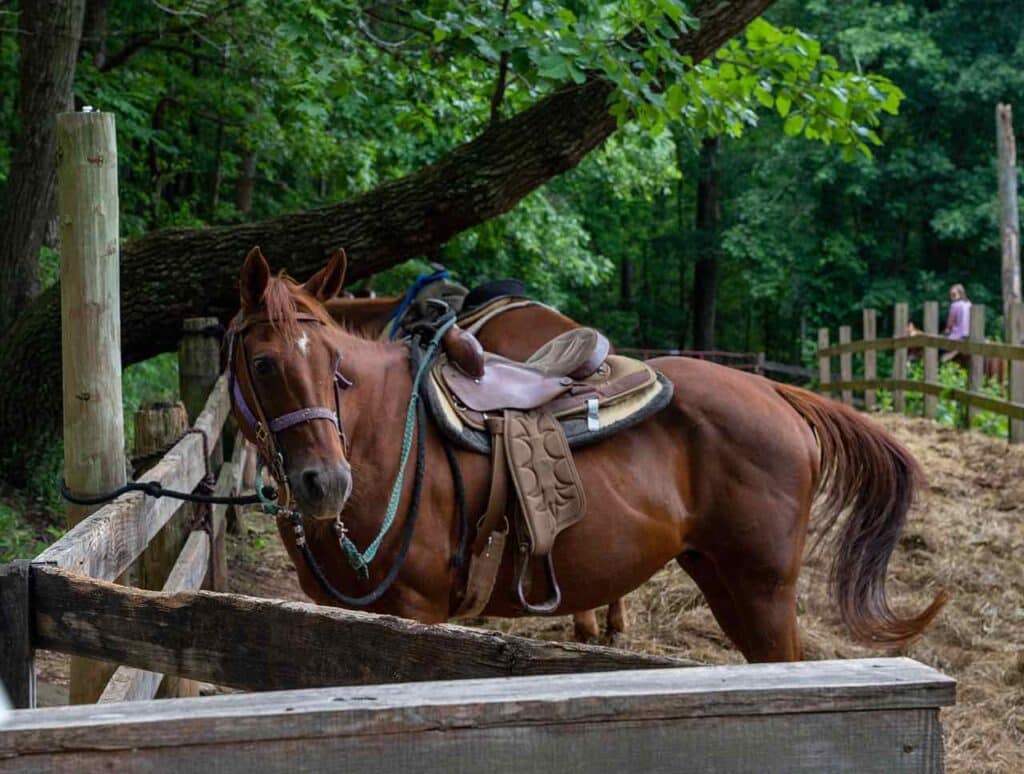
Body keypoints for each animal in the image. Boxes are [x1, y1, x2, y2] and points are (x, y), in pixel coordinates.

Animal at [230, 250, 942, 663]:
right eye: (263, 363)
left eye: (334, 365)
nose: (327, 483)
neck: (383, 434)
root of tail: (775, 392)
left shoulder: (417, 612)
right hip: (722, 578)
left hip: (764, 589)